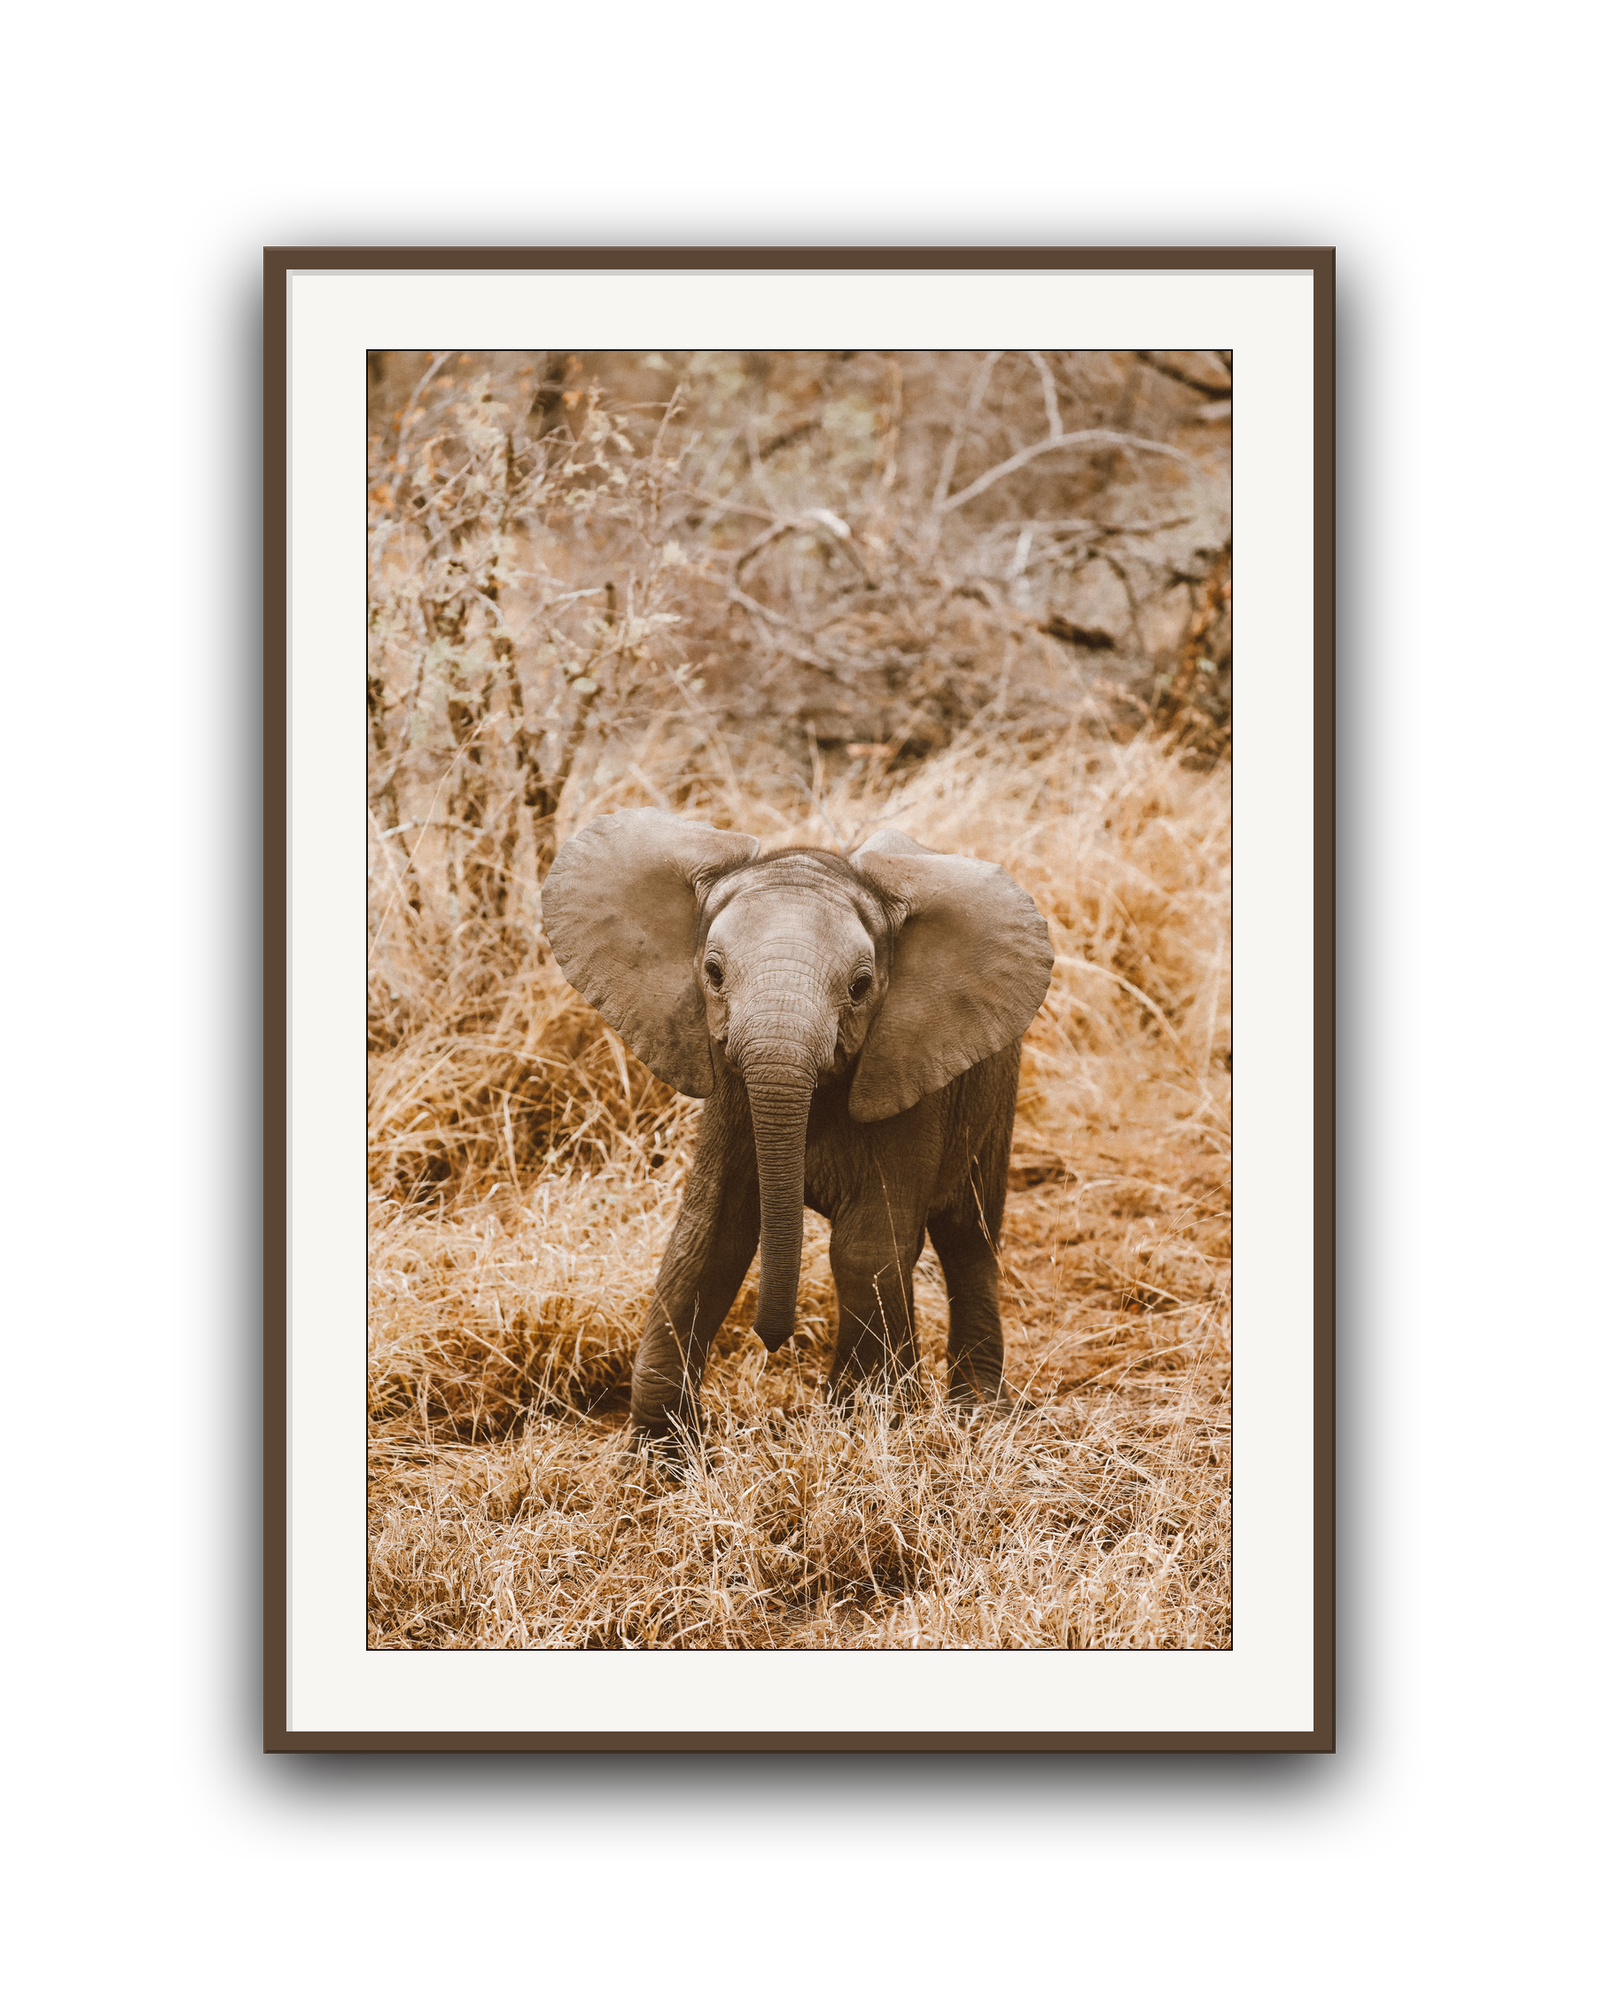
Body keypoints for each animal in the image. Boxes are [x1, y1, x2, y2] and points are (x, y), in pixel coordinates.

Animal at [539, 808, 1054, 1445]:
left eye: (860, 987)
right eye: (712, 973)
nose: (772, 1342)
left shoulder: (908, 1072)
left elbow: (866, 1246)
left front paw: (864, 1423)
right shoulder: (732, 1091)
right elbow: (709, 1236)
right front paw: (660, 1458)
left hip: (995, 1089)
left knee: (970, 1238)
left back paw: (979, 1413)